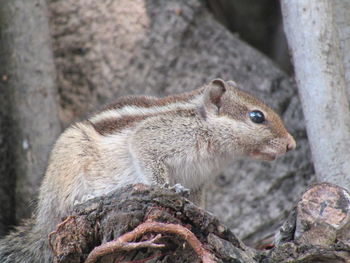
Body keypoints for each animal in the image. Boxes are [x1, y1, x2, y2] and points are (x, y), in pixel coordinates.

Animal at [0, 79, 296, 262]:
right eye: (256, 117)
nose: (291, 144)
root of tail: (41, 222)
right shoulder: (151, 139)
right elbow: (150, 163)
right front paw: (168, 188)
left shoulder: (199, 180)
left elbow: (198, 202)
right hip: (68, 167)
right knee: (62, 208)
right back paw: (85, 198)